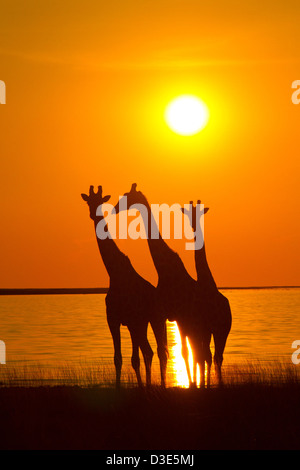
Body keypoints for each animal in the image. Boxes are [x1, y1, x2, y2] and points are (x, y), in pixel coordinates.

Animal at [81, 185, 168, 388]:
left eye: (101, 202)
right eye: (89, 202)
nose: (93, 214)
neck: (115, 273)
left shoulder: (133, 320)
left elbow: (134, 359)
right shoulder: (113, 320)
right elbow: (118, 358)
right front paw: (120, 387)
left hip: (156, 319)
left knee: (160, 351)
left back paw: (160, 385)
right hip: (142, 324)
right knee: (149, 350)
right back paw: (149, 384)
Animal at [114, 185, 211, 388]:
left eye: (127, 197)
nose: (115, 209)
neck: (164, 268)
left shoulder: (175, 316)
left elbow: (177, 351)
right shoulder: (164, 315)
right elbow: (168, 350)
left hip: (196, 323)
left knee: (200, 352)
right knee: (198, 351)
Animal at [180, 200, 232, 384]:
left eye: (200, 213)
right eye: (188, 213)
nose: (193, 226)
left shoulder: (205, 328)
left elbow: (204, 357)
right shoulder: (204, 328)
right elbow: (203, 356)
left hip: (221, 330)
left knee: (215, 356)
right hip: (216, 331)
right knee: (212, 356)